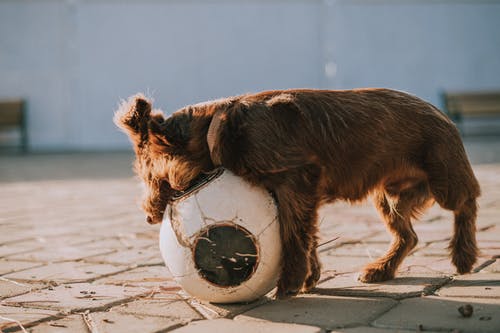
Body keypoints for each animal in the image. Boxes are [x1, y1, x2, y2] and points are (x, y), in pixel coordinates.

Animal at [114, 89, 480, 298]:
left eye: (153, 178)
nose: (148, 217)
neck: (218, 126)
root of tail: (442, 112)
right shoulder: (299, 195)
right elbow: (307, 235)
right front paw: (310, 274)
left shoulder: (296, 182)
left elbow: (293, 234)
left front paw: (290, 281)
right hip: (388, 197)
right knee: (408, 235)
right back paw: (382, 269)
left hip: (444, 180)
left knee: (468, 202)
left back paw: (464, 254)